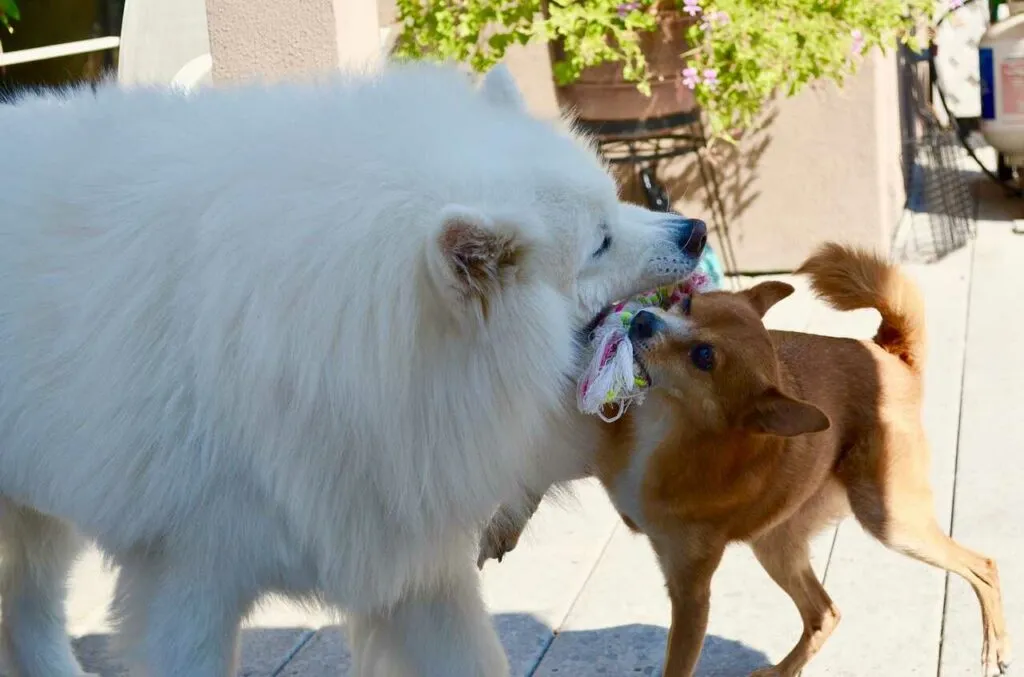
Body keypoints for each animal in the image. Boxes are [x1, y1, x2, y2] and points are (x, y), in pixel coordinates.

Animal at [0, 64, 704, 675]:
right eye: (600, 242)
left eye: (615, 207)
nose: (694, 230)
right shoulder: (188, 578)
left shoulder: (410, 558)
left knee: (26, 611)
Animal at [479, 242, 1007, 675]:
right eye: (686, 304)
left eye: (704, 357)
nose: (644, 320)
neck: (669, 426)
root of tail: (890, 356)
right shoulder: (590, 454)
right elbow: (523, 475)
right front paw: (499, 530)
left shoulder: (690, 594)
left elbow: (678, 664)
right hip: (776, 545)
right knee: (824, 613)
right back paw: (782, 671)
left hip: (888, 520)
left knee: (982, 564)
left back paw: (994, 645)